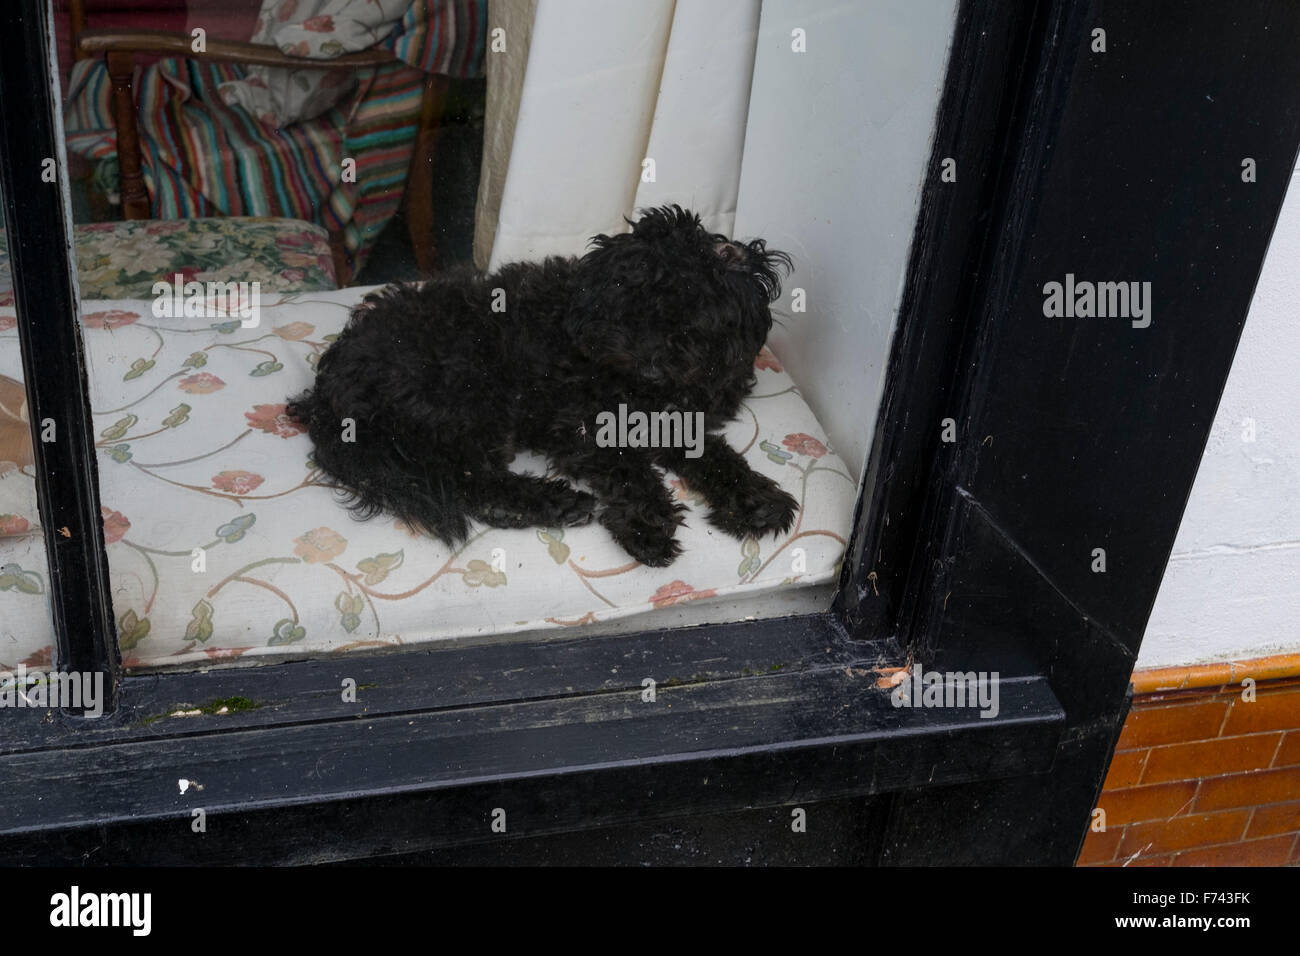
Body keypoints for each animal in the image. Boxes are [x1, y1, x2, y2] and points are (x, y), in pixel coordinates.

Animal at [288, 205, 795, 564]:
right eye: (633, 298)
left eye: (696, 311)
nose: (652, 366)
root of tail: (325, 396)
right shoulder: (580, 426)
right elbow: (630, 473)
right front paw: (647, 526)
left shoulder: (672, 421)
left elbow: (717, 457)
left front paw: (757, 499)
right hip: (472, 396)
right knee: (467, 479)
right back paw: (554, 501)